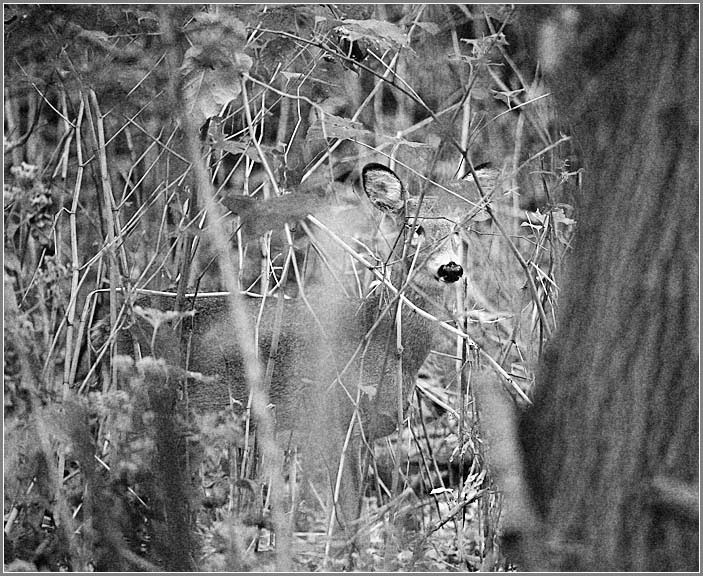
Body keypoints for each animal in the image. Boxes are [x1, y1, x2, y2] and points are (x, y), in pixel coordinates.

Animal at [121, 163, 465, 537]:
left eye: (458, 230)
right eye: (415, 227)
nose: (450, 268)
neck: (380, 338)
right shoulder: (337, 418)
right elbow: (346, 511)